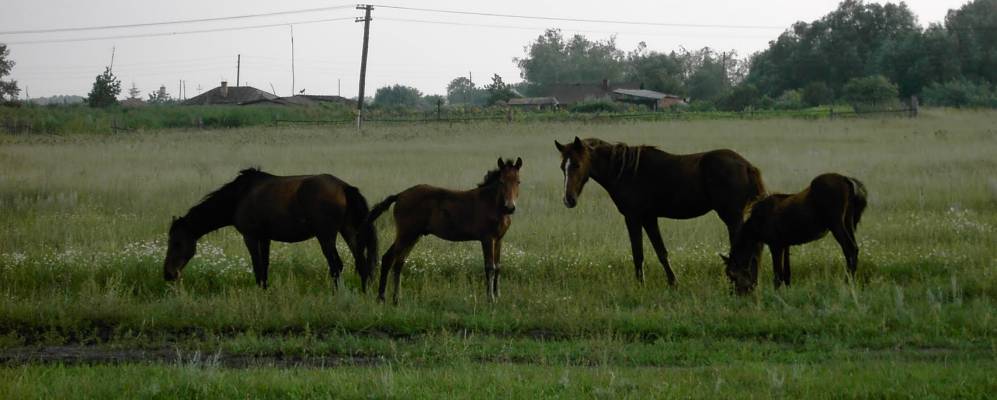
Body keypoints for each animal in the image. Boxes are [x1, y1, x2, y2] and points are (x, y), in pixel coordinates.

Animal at [163, 167, 378, 292]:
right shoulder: (265, 238)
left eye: (177, 243)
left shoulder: (250, 236)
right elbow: (265, 265)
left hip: (326, 236)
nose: (168, 274)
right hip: (348, 231)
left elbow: (257, 265)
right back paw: (364, 291)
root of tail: (344, 187)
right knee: (361, 262)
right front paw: (265, 289)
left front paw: (260, 290)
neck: (239, 196)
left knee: (336, 265)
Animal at [366, 158, 520, 304]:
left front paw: (498, 296)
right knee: (388, 258)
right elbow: (490, 267)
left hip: (413, 236)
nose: (510, 207)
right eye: (501, 182)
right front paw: (490, 299)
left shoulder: (499, 239)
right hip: (406, 234)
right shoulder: (487, 239)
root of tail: (400, 195)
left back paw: (396, 299)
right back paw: (381, 298)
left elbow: (498, 266)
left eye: (518, 182)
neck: (493, 205)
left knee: (399, 262)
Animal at [552, 137, 764, 284]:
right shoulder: (649, 218)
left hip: (732, 217)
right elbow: (661, 252)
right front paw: (673, 282)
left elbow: (638, 253)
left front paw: (640, 284)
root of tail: (747, 166)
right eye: (562, 166)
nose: (568, 200)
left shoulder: (633, 217)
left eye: (577, 164)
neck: (625, 171)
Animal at [720, 172, 868, 294]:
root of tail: (847, 180)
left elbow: (778, 274)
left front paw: (776, 294)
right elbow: (787, 274)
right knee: (854, 249)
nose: (734, 294)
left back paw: (847, 283)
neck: (756, 224)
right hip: (848, 222)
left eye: (731, 274)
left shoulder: (775, 245)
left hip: (836, 224)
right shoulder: (785, 244)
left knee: (850, 249)